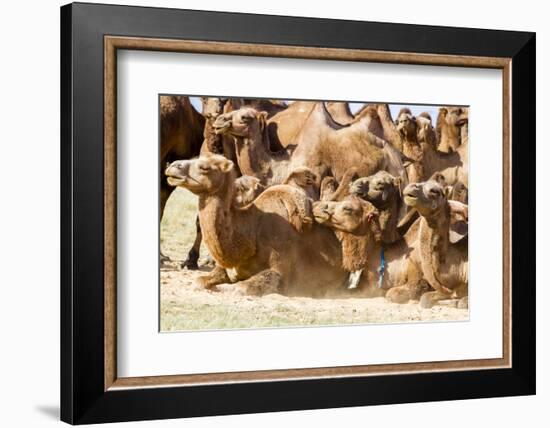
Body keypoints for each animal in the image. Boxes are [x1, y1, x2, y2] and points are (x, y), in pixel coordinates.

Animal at [166, 155, 352, 298]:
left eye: (205, 167)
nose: (172, 166)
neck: (252, 231)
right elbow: (199, 281)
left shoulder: (281, 268)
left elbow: (240, 288)